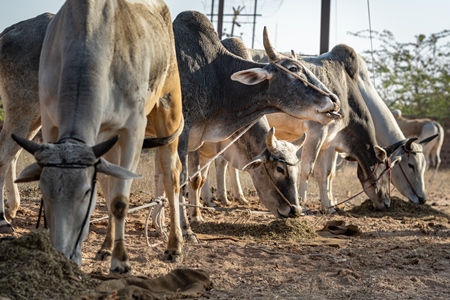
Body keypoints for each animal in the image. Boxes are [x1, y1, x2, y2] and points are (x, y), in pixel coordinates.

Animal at [12, 0, 185, 274]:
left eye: (85, 192)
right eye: (43, 191)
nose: (63, 254)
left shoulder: (134, 129)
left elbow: (120, 201)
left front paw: (121, 261)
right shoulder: (50, 124)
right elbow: (108, 190)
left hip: (169, 110)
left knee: (171, 174)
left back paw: (174, 246)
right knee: (109, 181)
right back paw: (105, 247)